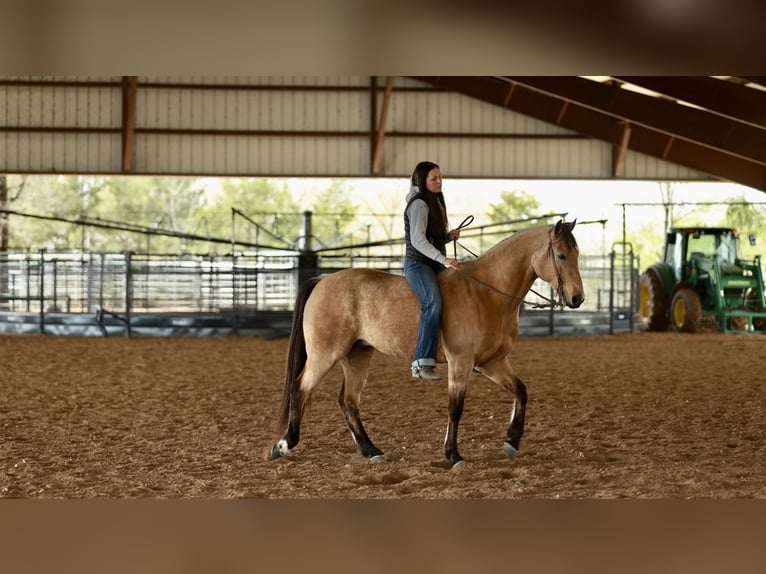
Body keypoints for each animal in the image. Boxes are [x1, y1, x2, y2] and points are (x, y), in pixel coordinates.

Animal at [266, 219, 584, 468]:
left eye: (576, 253)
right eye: (561, 255)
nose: (577, 298)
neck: (486, 292)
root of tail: (322, 281)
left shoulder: (492, 362)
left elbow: (521, 391)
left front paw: (512, 441)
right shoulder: (461, 362)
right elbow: (456, 407)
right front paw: (453, 455)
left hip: (357, 355)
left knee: (348, 401)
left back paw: (371, 451)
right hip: (325, 354)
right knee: (300, 388)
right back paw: (283, 445)